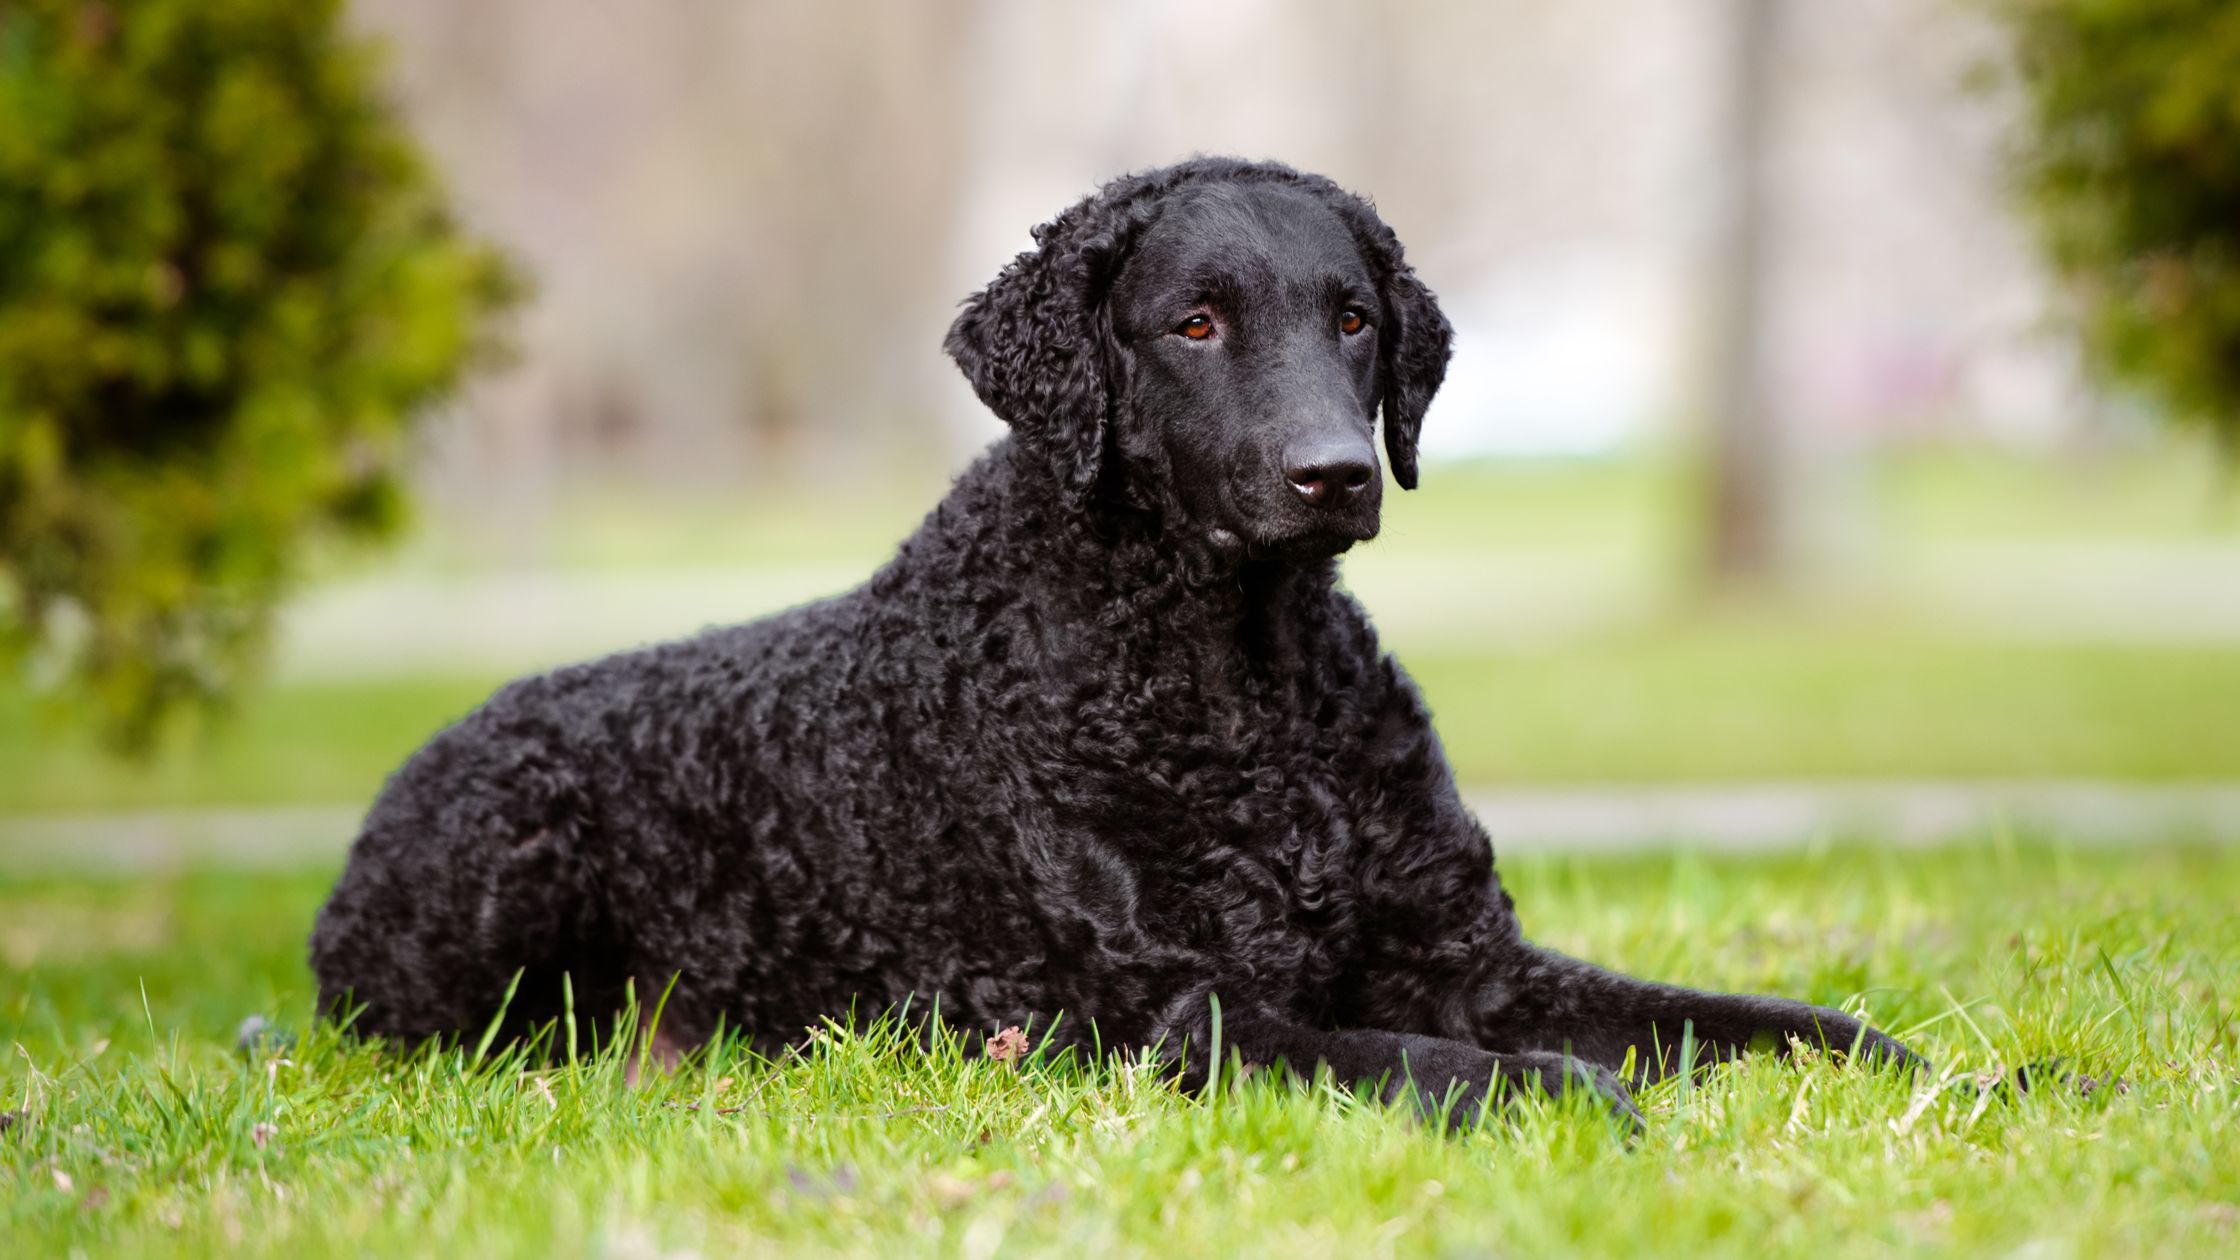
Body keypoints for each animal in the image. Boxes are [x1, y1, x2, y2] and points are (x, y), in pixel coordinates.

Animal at [311, 156, 1926, 1116]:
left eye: (1354, 317)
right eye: (1194, 323)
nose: (1336, 474)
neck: (1243, 688)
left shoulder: (1476, 958)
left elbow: (1752, 1019)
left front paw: (1954, 1075)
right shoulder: (1168, 1010)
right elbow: (1418, 1054)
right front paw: (1563, 1093)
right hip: (504, 862)